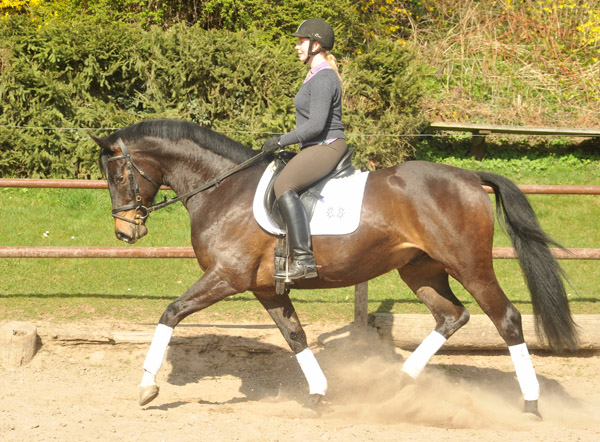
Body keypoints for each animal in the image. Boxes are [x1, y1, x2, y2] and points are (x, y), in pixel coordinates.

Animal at [91, 120, 580, 418]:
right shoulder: (265, 288)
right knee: (451, 316)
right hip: (420, 270)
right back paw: (392, 386)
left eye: (118, 176)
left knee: (506, 319)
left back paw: (530, 405)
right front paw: (319, 394)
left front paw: (147, 387)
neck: (224, 189)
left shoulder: (226, 278)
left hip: (470, 265)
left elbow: (170, 313)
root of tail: (469, 177)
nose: (125, 232)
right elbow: (295, 337)